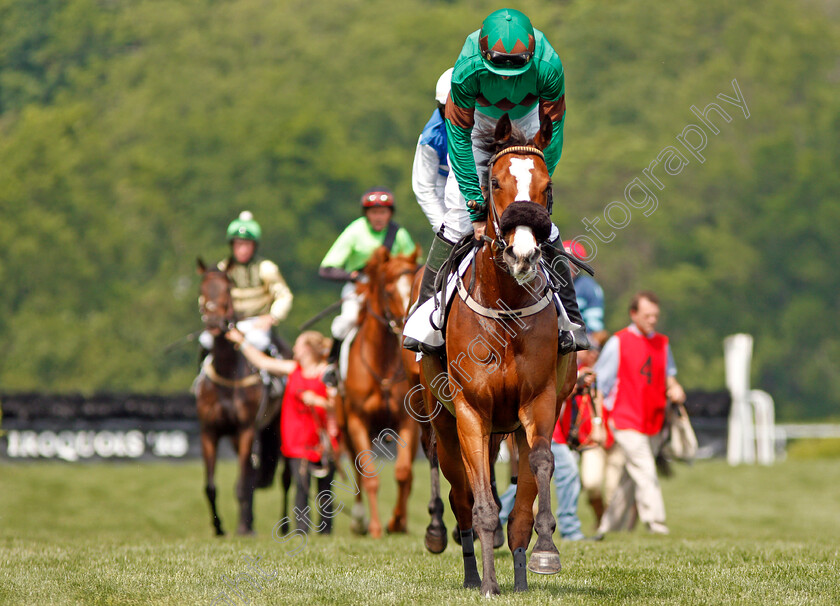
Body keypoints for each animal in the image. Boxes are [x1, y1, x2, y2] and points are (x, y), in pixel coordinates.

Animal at [195, 260, 284, 536]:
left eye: (227, 289)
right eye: (203, 289)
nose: (214, 322)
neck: (228, 375)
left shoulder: (246, 430)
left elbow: (243, 484)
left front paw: (242, 528)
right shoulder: (209, 431)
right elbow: (210, 486)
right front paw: (219, 527)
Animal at [338, 247, 420, 536]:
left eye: (415, 285)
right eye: (388, 289)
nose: (407, 325)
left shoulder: (407, 421)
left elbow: (404, 472)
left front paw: (396, 521)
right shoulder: (357, 422)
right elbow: (368, 475)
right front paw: (373, 527)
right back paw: (359, 519)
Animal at [416, 116, 580, 596]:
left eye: (546, 186)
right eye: (495, 182)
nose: (523, 254)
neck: (505, 309)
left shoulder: (539, 401)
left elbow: (540, 466)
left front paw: (545, 552)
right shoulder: (471, 411)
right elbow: (481, 503)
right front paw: (488, 583)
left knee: (519, 501)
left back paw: (522, 573)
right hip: (446, 426)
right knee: (462, 497)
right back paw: (473, 572)